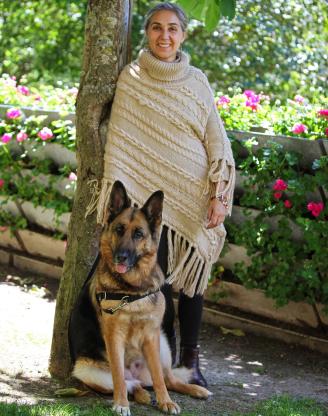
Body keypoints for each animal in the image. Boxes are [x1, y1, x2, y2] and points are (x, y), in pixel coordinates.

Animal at [69, 182, 211, 416]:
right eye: (119, 229)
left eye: (138, 234)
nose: (121, 257)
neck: (132, 290)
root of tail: (138, 375)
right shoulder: (114, 337)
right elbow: (118, 375)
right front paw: (121, 404)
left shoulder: (152, 336)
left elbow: (160, 378)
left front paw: (166, 402)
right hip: (85, 370)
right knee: (129, 383)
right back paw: (140, 394)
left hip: (163, 344)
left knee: (167, 379)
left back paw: (194, 390)